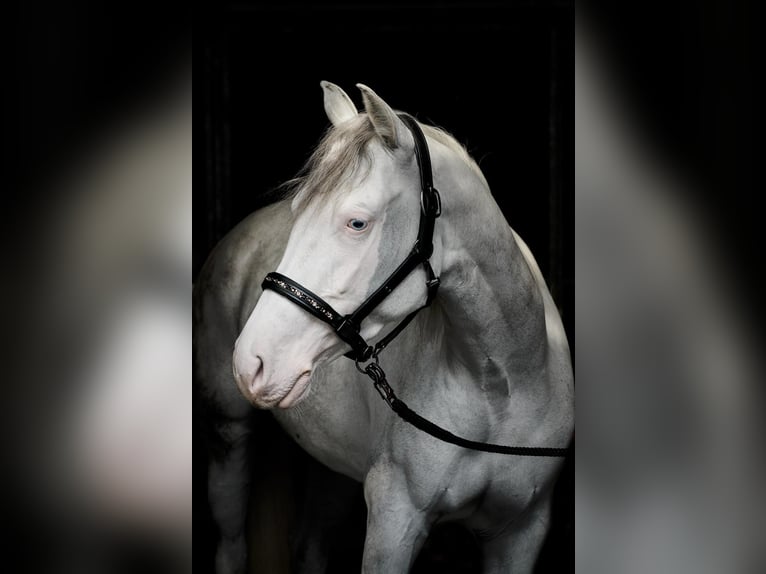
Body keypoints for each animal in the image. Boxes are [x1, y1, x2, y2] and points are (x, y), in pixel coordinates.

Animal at [195, 81, 573, 573]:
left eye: (357, 222)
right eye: (298, 211)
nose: (251, 362)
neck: (502, 384)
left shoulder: (521, 532)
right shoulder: (394, 523)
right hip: (230, 434)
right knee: (232, 544)